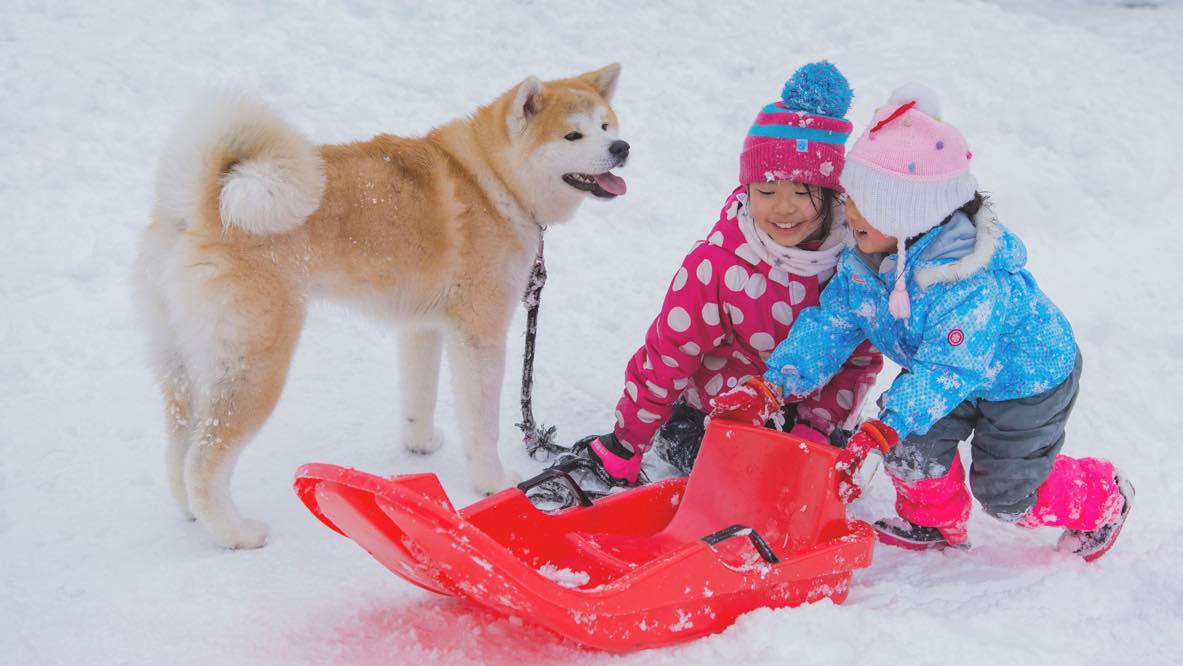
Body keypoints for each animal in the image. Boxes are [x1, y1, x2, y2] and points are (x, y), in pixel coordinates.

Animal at [136, 65, 629, 548]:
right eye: (572, 136)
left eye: (606, 125)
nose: (621, 147)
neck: (491, 181)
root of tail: (199, 206)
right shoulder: (479, 334)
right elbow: (482, 425)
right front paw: (493, 483)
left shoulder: (422, 327)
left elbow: (419, 397)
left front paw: (420, 445)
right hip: (255, 366)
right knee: (204, 462)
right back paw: (235, 532)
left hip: (183, 367)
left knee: (179, 449)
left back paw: (191, 514)